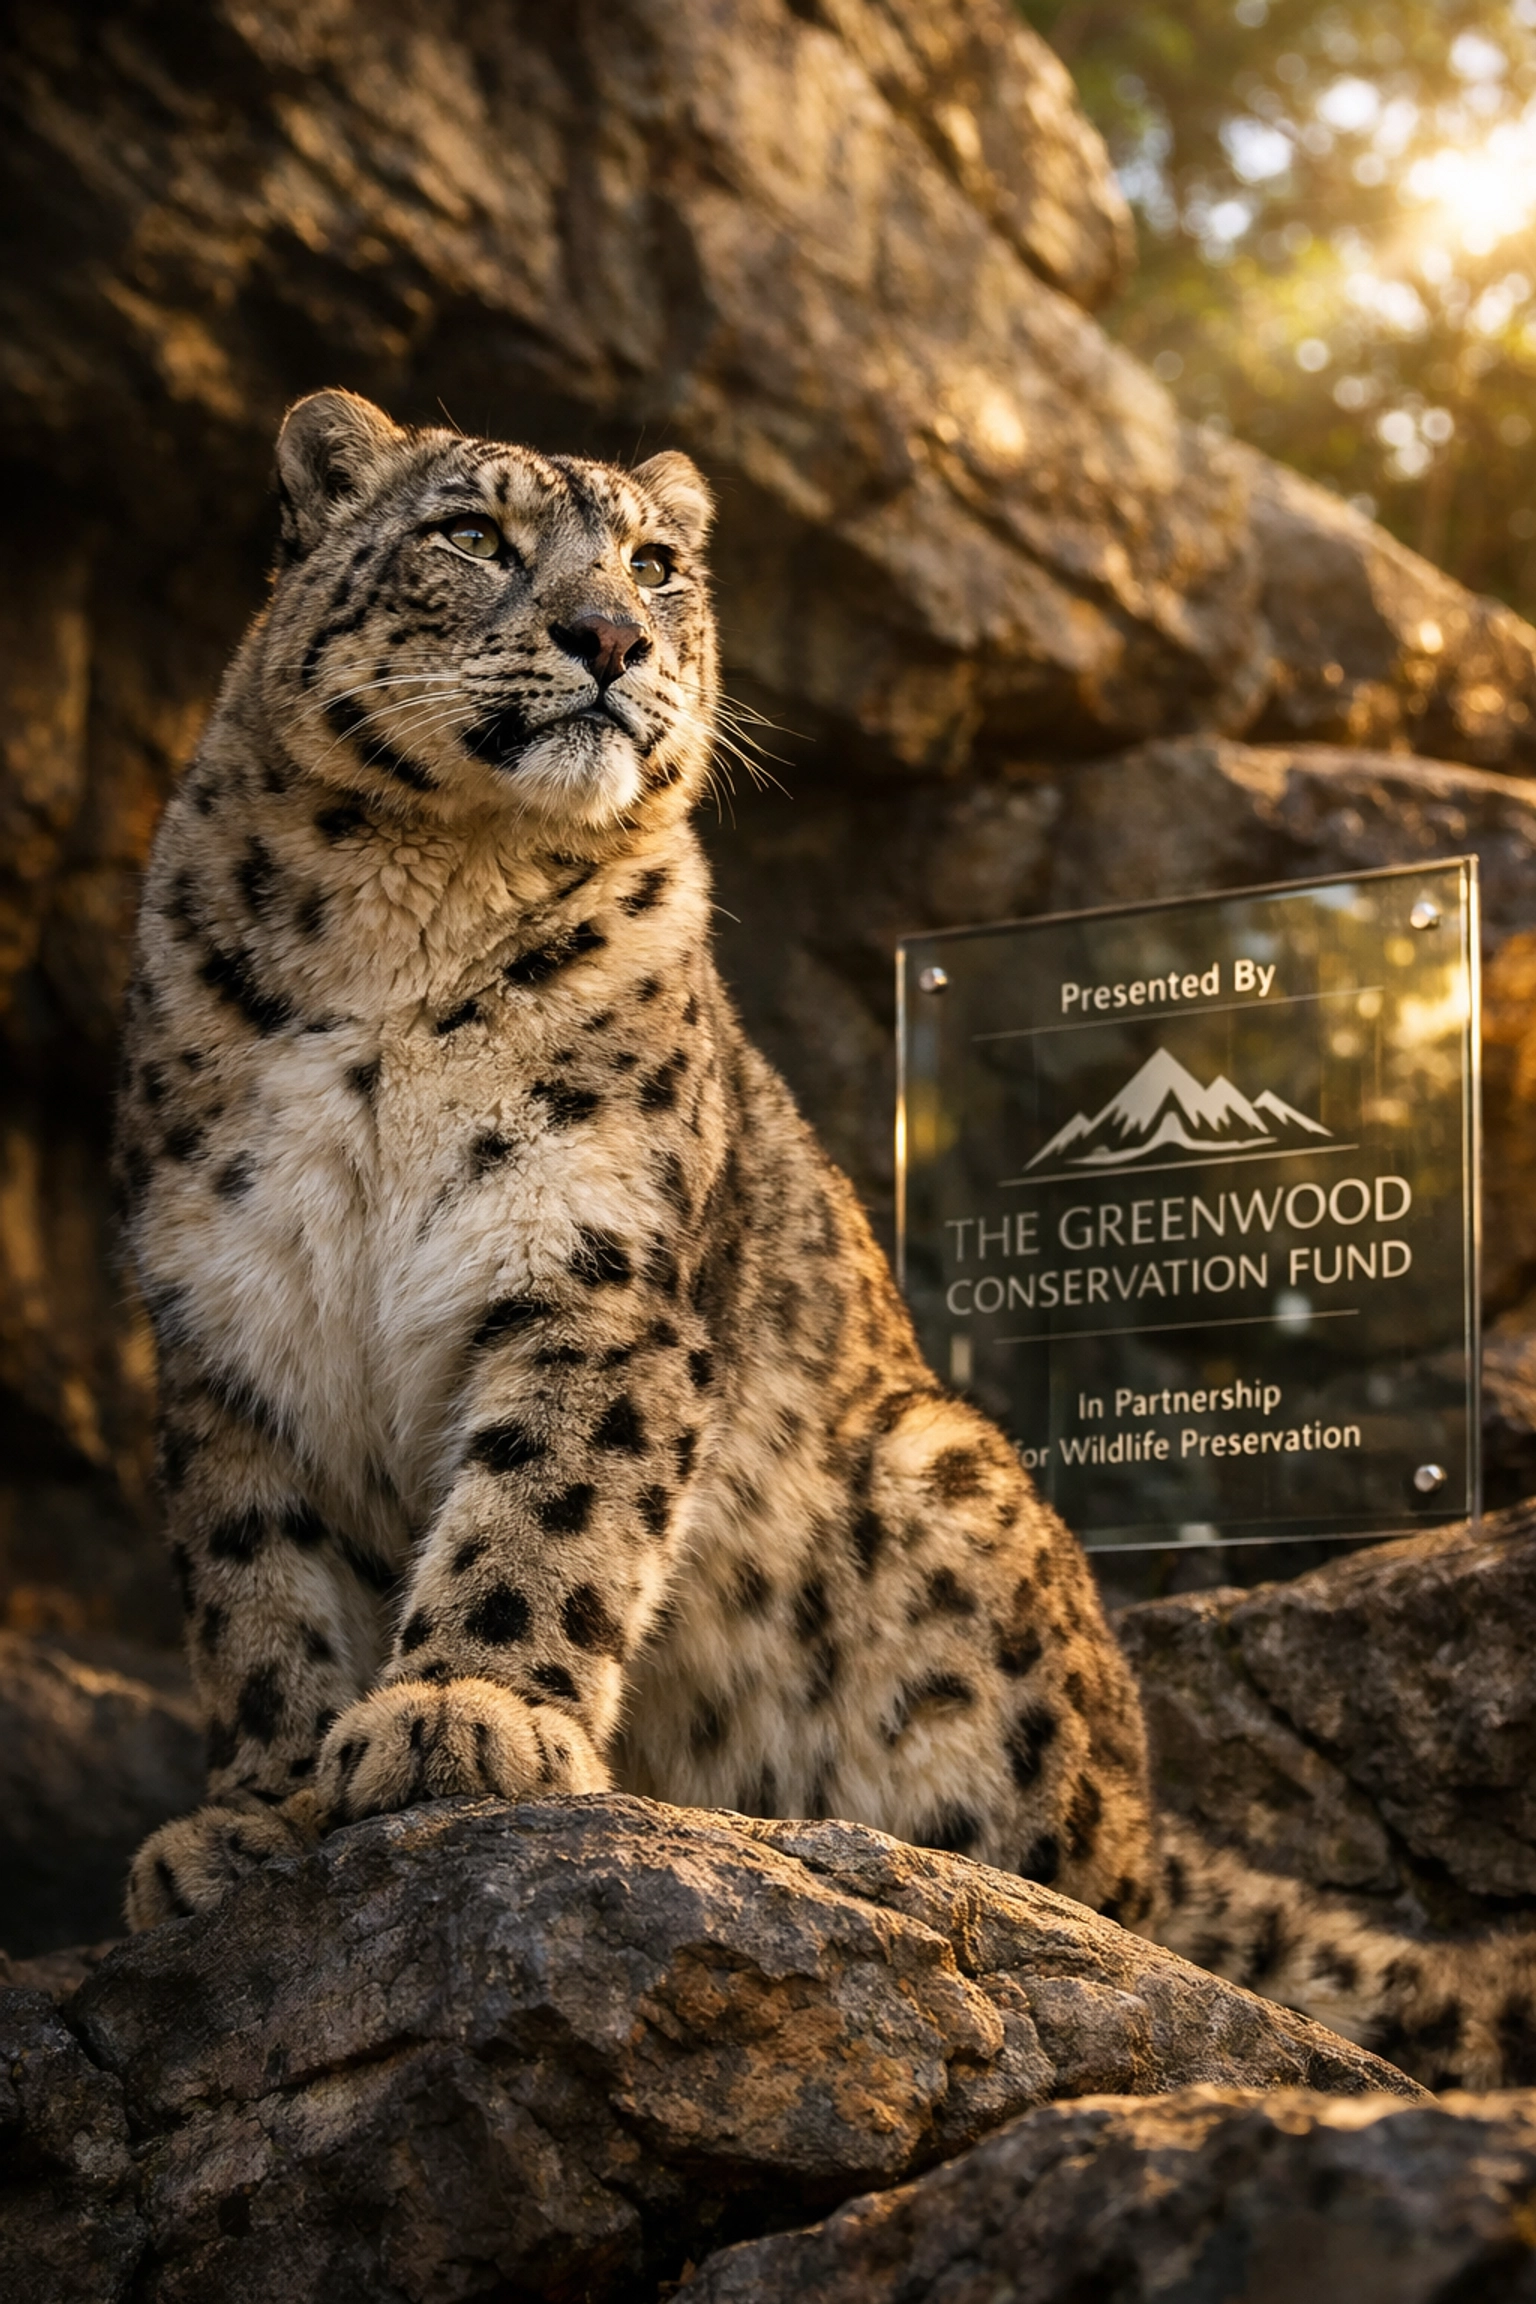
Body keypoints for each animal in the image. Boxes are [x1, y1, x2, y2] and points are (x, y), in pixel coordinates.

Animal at [116, 390, 1536, 2092]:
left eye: (655, 563)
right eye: (473, 535)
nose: (606, 633)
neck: (409, 920)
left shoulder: (594, 1271)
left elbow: (546, 1508)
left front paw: (464, 1714)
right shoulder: (225, 1323)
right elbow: (257, 1594)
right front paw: (249, 1820)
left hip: (951, 1510)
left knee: (1103, 1884)